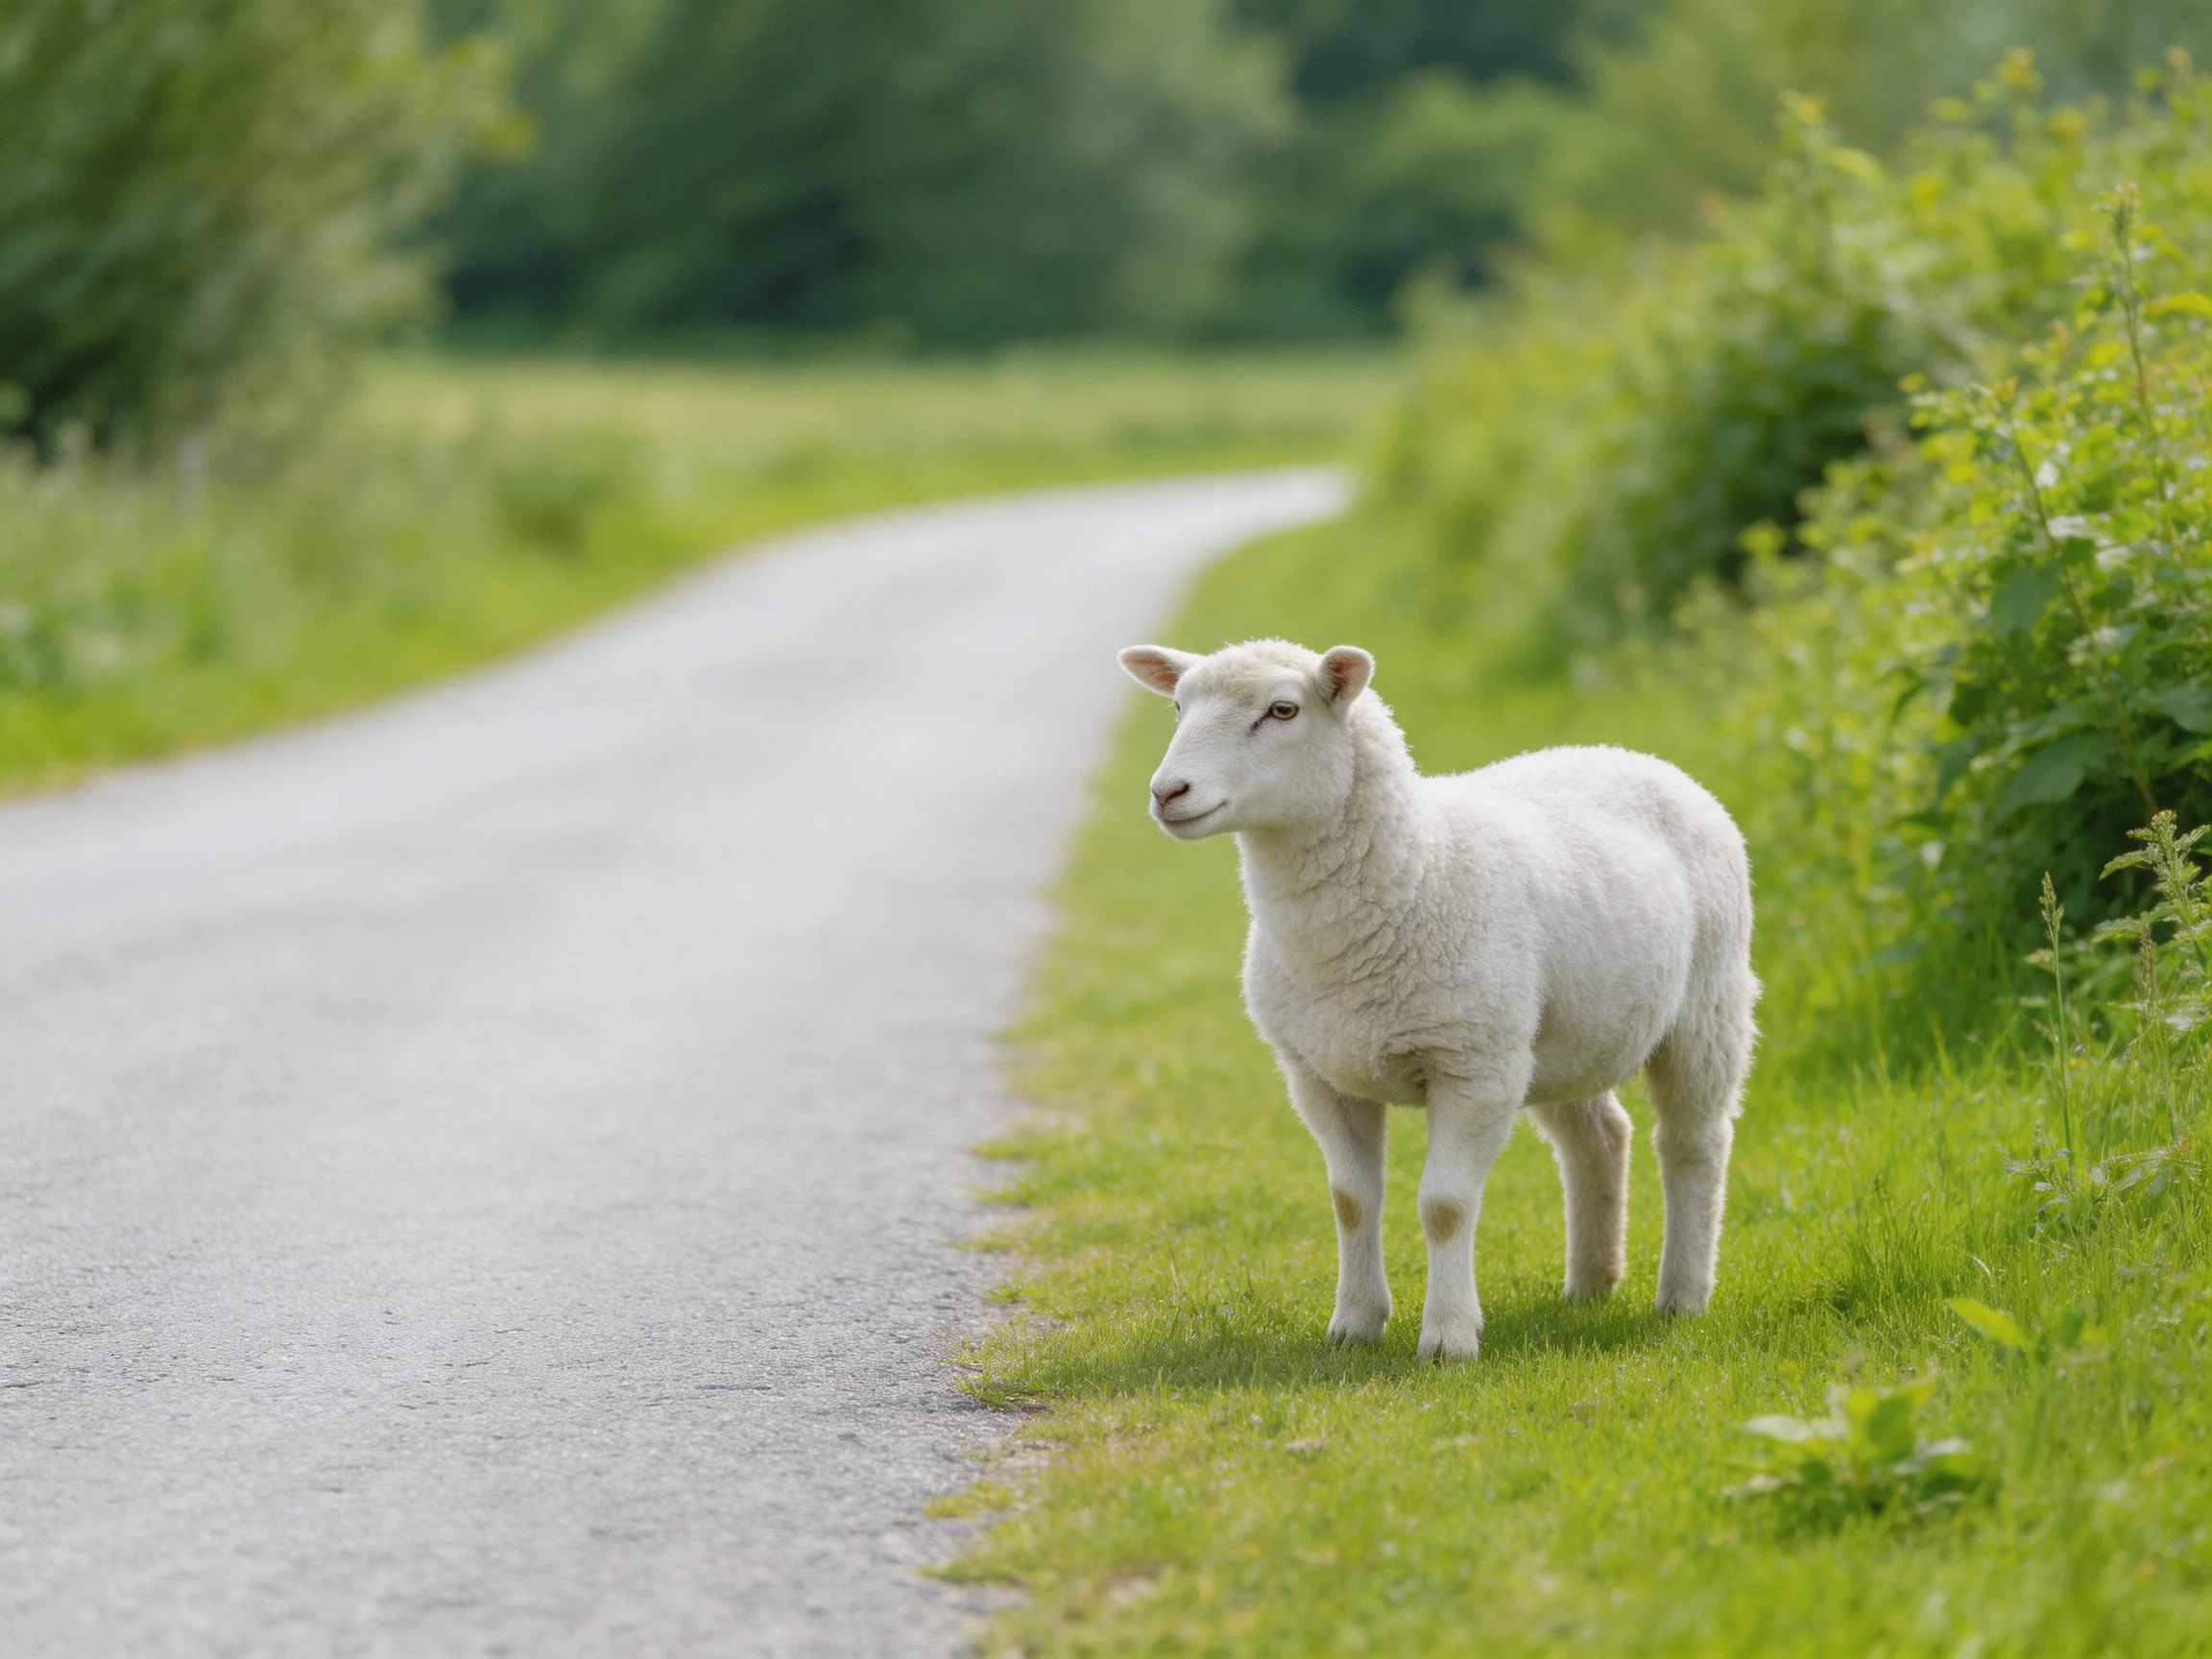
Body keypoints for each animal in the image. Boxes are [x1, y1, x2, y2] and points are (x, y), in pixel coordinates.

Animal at [1117, 637, 1758, 1361]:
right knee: (1599, 1137)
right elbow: (1350, 1201)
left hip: (1706, 1005)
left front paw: (1449, 1337)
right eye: (1178, 706)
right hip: (1560, 1037)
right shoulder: (1319, 1075)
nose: (1168, 792)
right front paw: (1355, 1323)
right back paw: (1591, 1282)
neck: (1417, 865)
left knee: (1693, 1144)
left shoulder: (1472, 1069)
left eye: (1283, 710)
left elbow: (1444, 1206)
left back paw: (1683, 1295)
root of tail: (1634, 755)